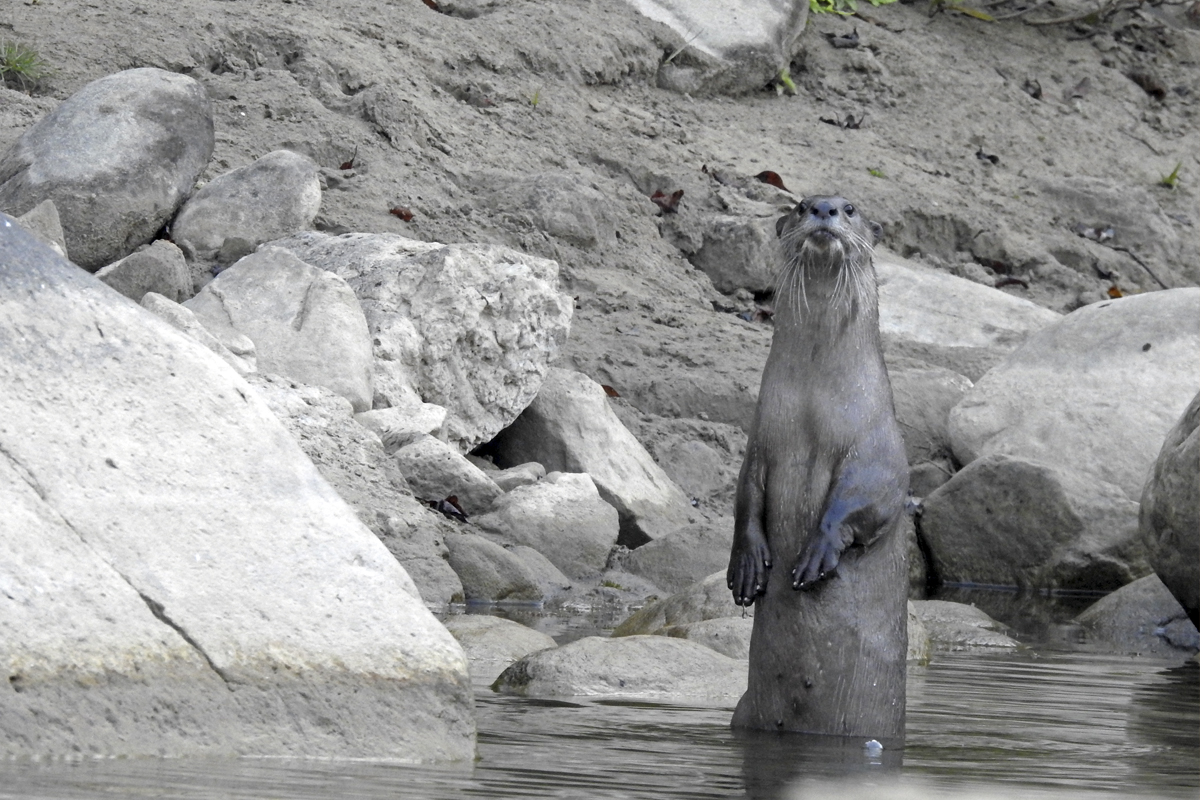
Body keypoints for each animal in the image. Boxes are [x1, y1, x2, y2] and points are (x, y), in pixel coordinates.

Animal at [720, 196, 907, 743]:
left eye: (850, 208)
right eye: (801, 205)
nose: (823, 208)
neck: (813, 408)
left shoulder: (878, 447)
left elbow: (870, 496)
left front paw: (817, 552)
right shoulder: (761, 442)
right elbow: (745, 497)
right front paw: (746, 566)